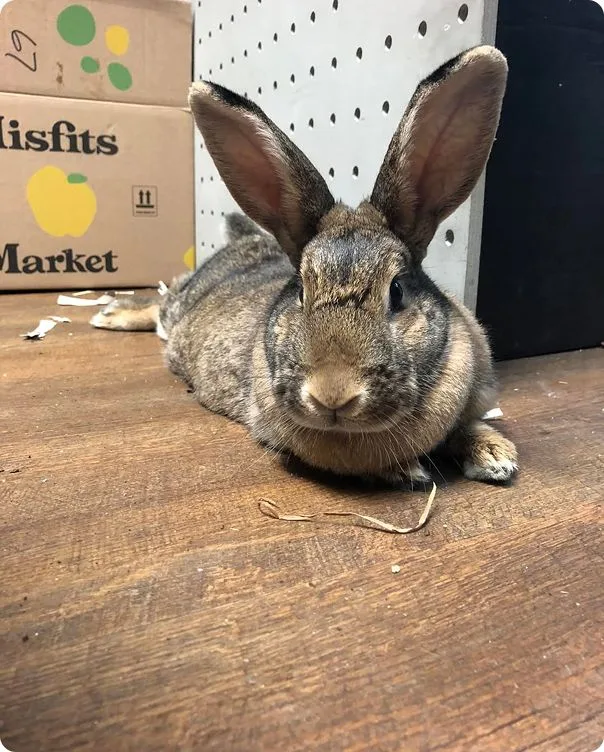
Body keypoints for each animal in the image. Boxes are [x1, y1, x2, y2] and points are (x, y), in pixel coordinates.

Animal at [91, 45, 518, 486]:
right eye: (300, 290)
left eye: (397, 291)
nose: (332, 394)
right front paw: (409, 470)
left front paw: (494, 456)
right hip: (178, 306)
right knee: (159, 303)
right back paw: (111, 314)